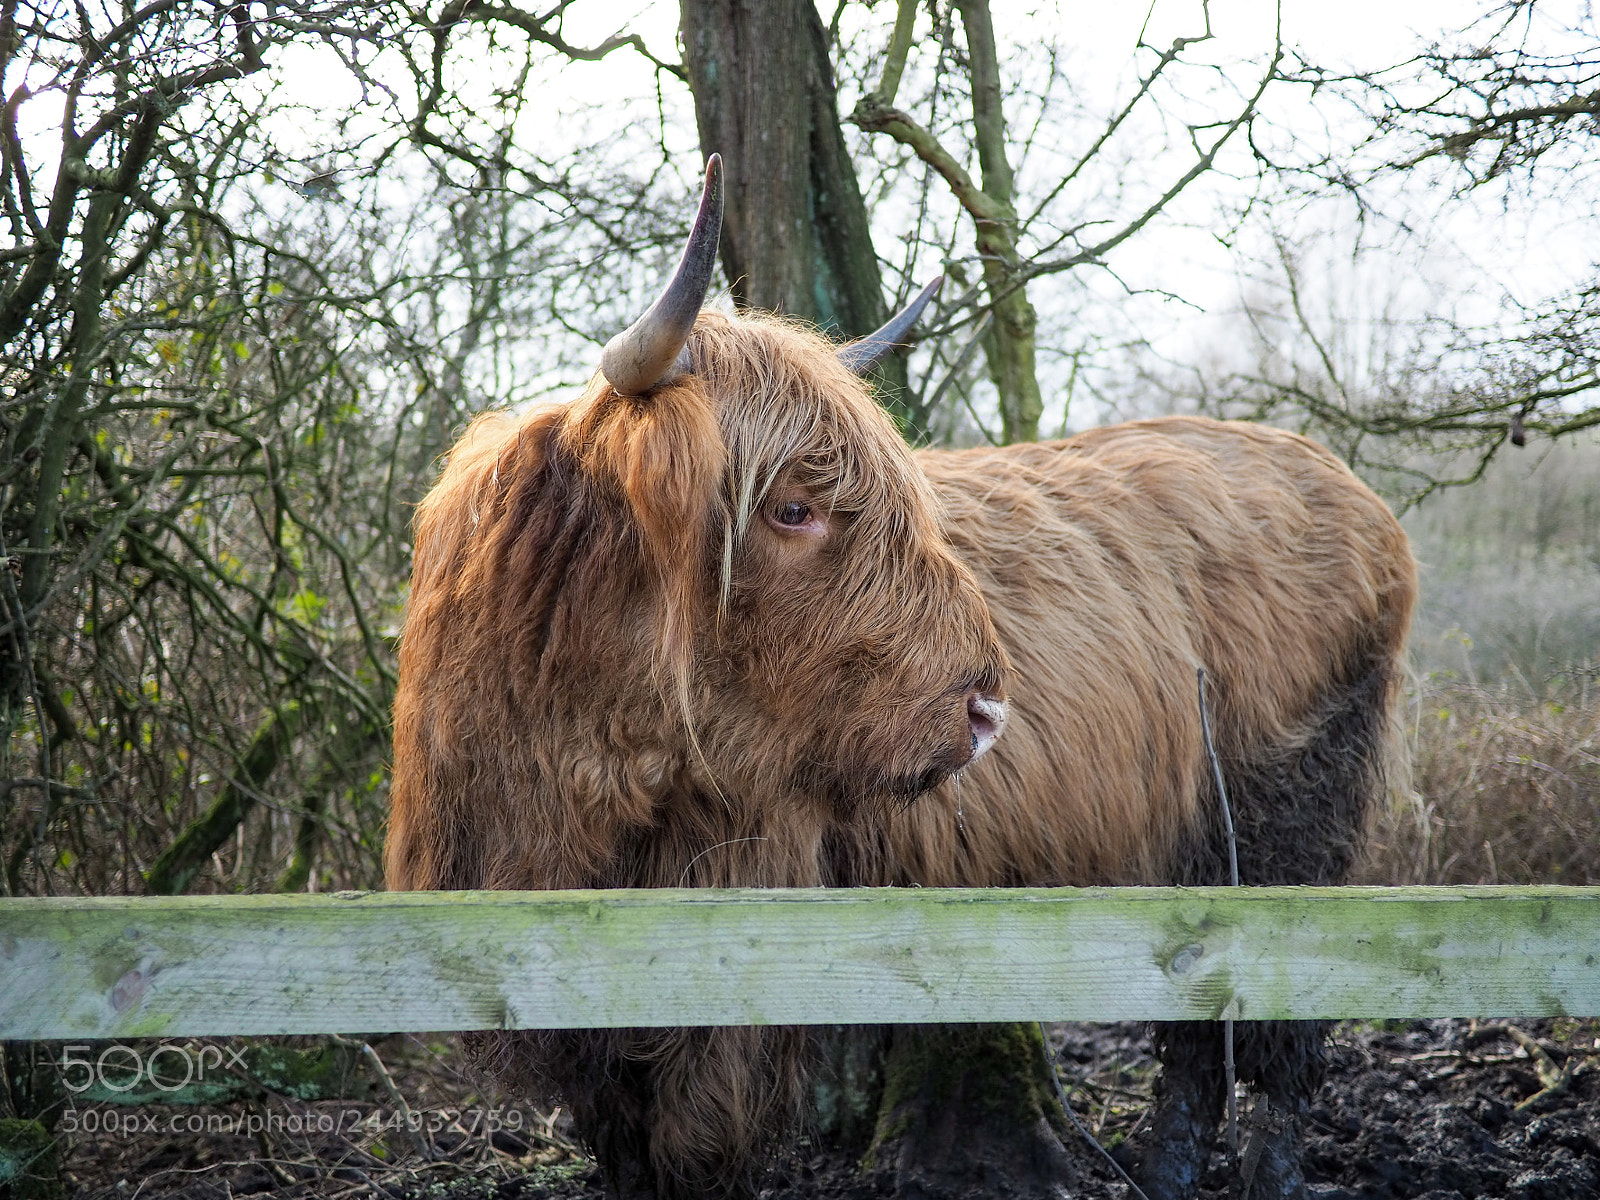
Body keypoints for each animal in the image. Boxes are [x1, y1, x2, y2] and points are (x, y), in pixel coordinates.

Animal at [385, 156, 1417, 1200]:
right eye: (793, 507)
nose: (987, 706)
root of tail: (1338, 480)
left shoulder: (732, 951)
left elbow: (698, 1145)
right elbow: (628, 1145)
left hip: (1292, 814)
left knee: (1275, 1024)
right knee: (1200, 1015)